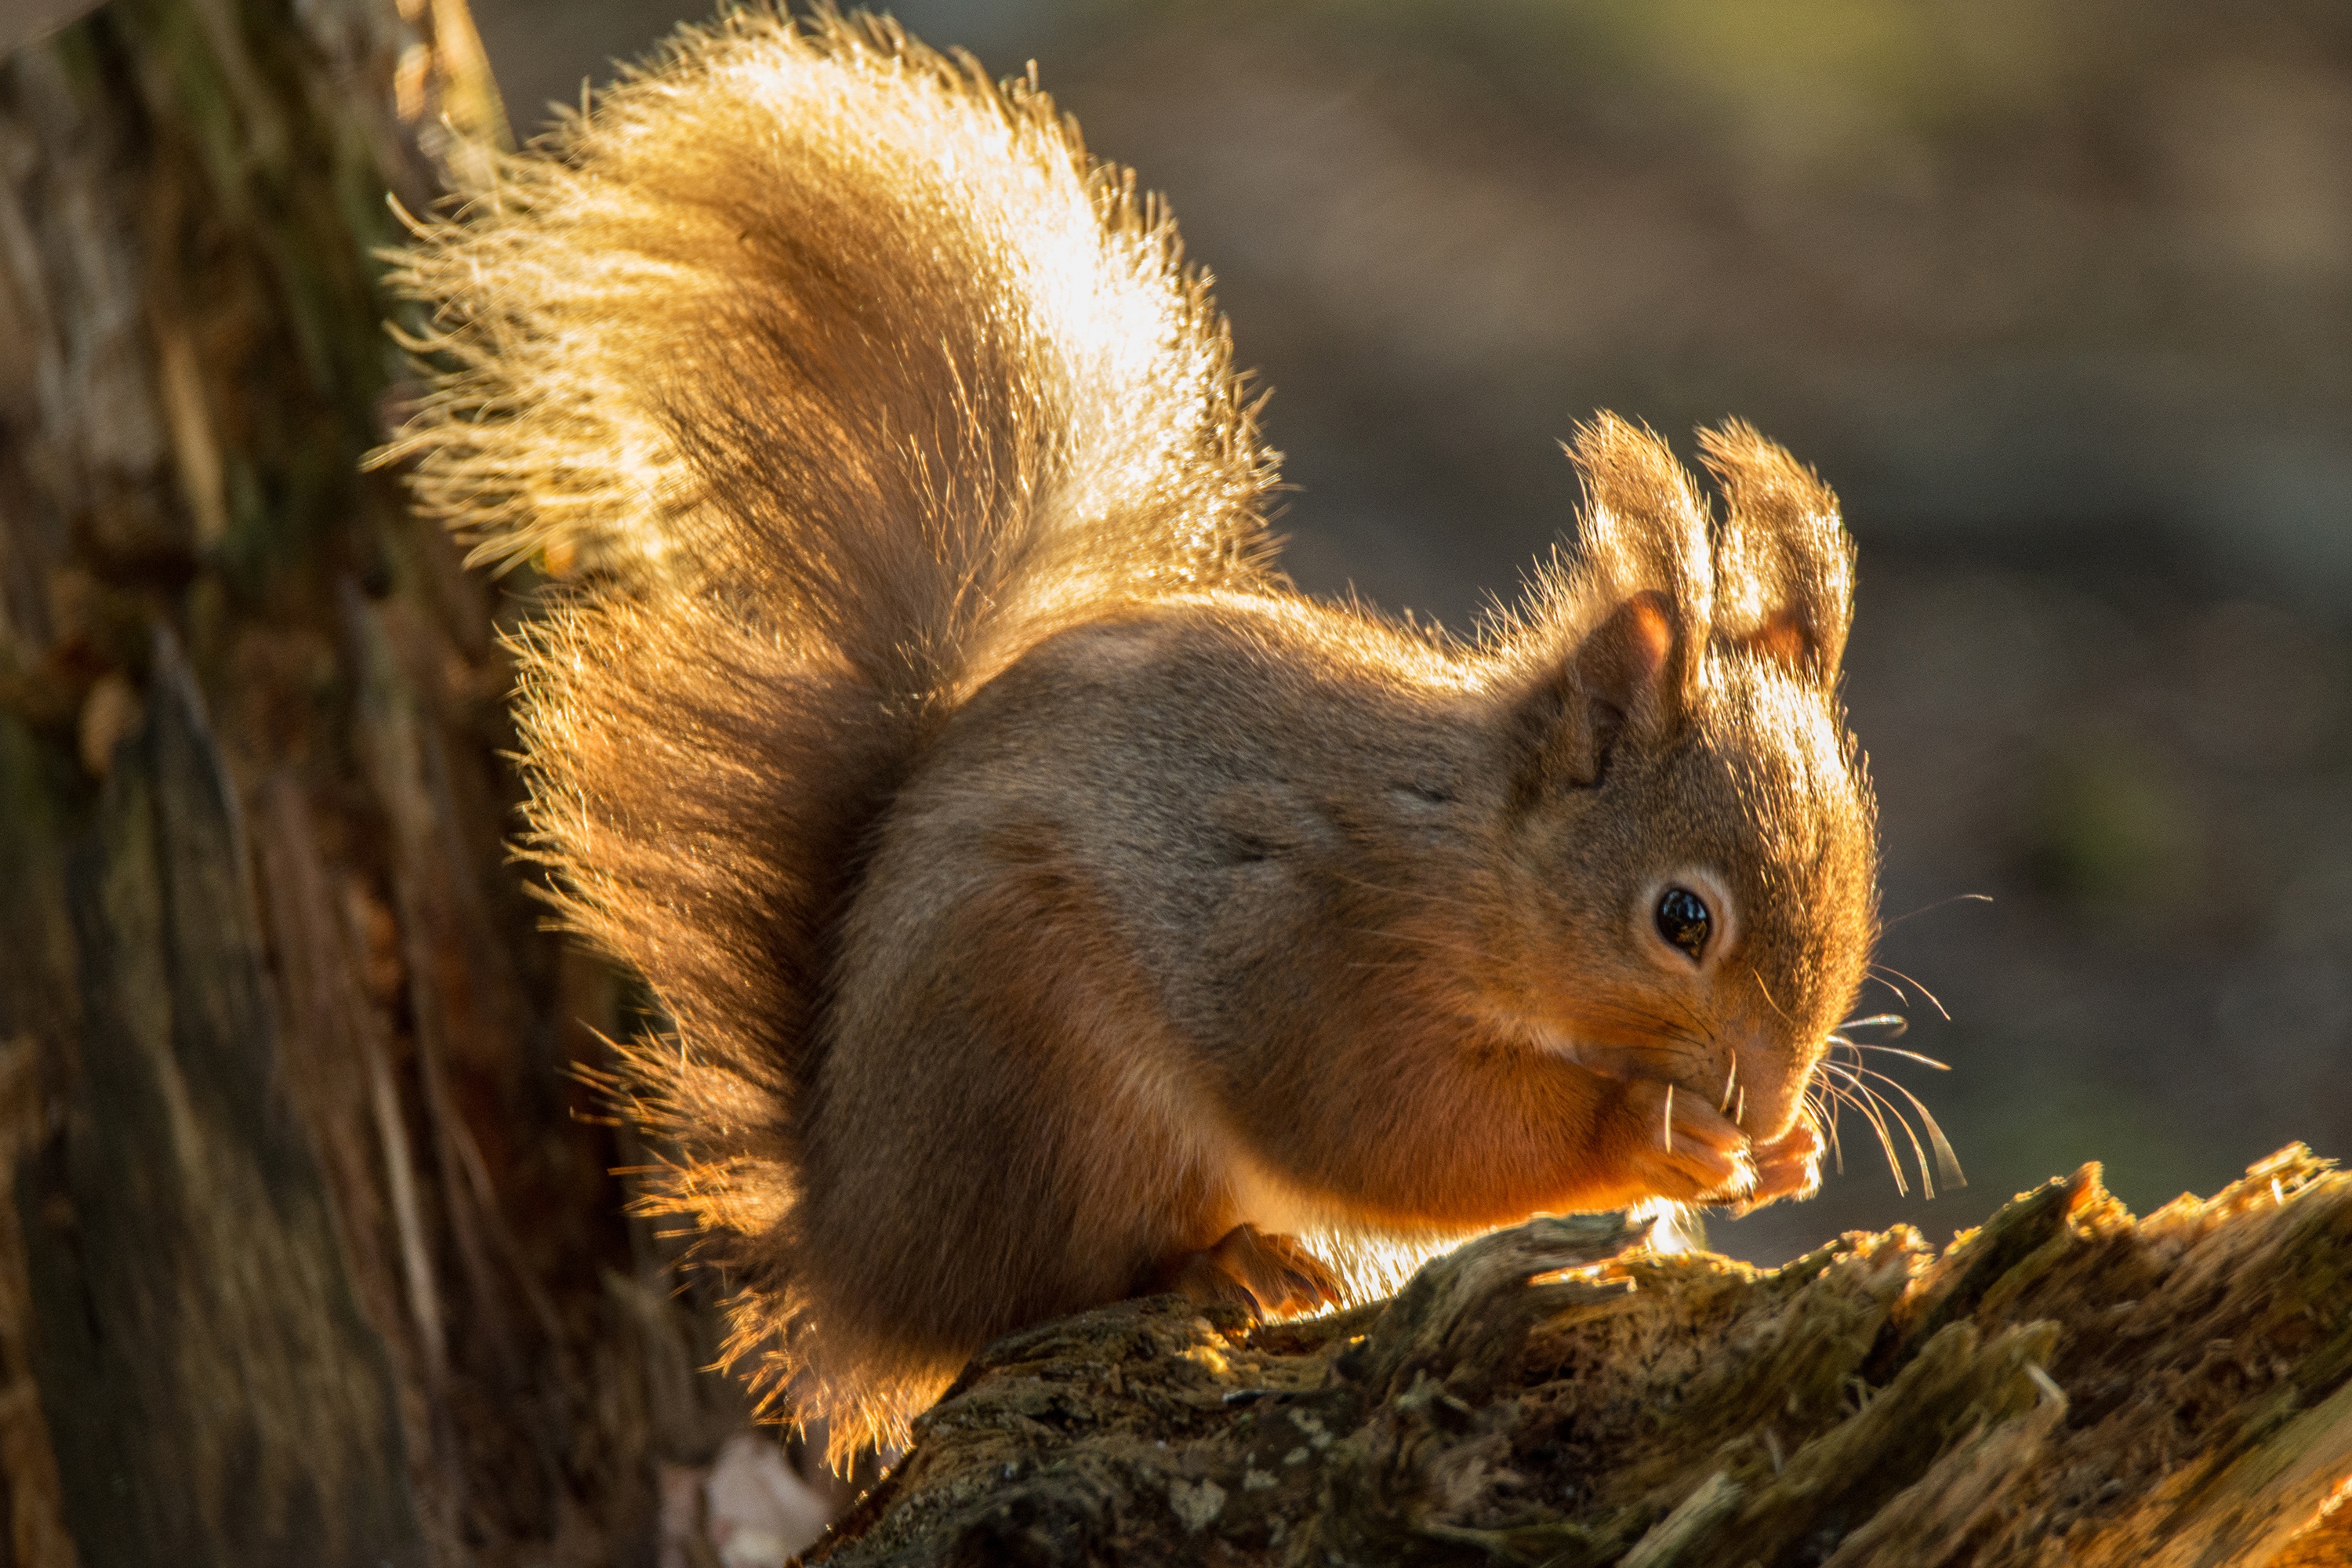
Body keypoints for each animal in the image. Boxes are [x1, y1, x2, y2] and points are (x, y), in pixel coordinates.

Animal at [395, 2, 1882, 1457]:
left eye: (1861, 903)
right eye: (1681, 921)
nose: (1765, 1094)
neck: (1465, 851)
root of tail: (853, 1246)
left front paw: (1789, 1155)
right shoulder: (1310, 943)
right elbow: (1390, 1129)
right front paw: (1651, 1131)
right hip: (1043, 1065)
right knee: (1044, 1287)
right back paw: (1219, 1264)